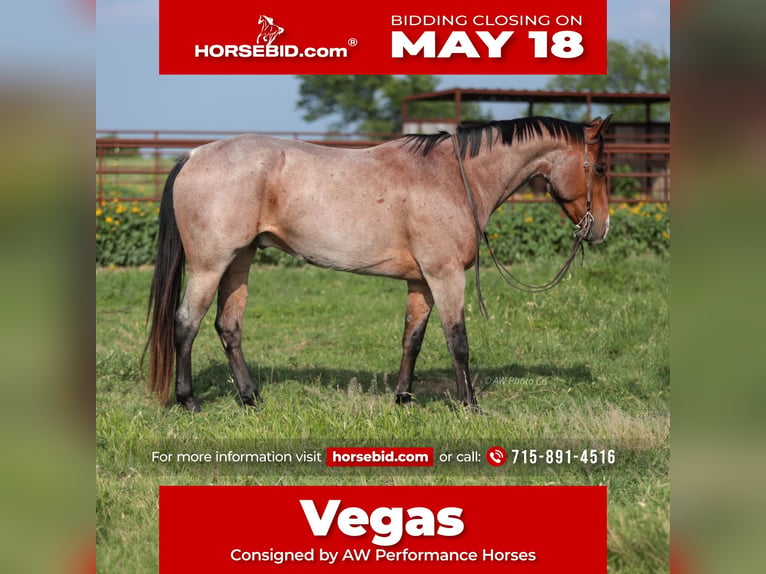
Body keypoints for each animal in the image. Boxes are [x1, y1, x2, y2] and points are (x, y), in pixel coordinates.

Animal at [145, 115, 613, 412]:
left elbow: (413, 339)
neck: (451, 177)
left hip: (239, 261)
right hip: (210, 265)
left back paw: (250, 397)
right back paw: (188, 401)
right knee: (185, 324)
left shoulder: (422, 282)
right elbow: (458, 341)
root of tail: (194, 155)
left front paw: (403, 398)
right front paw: (470, 404)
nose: (601, 229)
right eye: (601, 168)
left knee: (229, 327)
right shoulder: (445, 276)